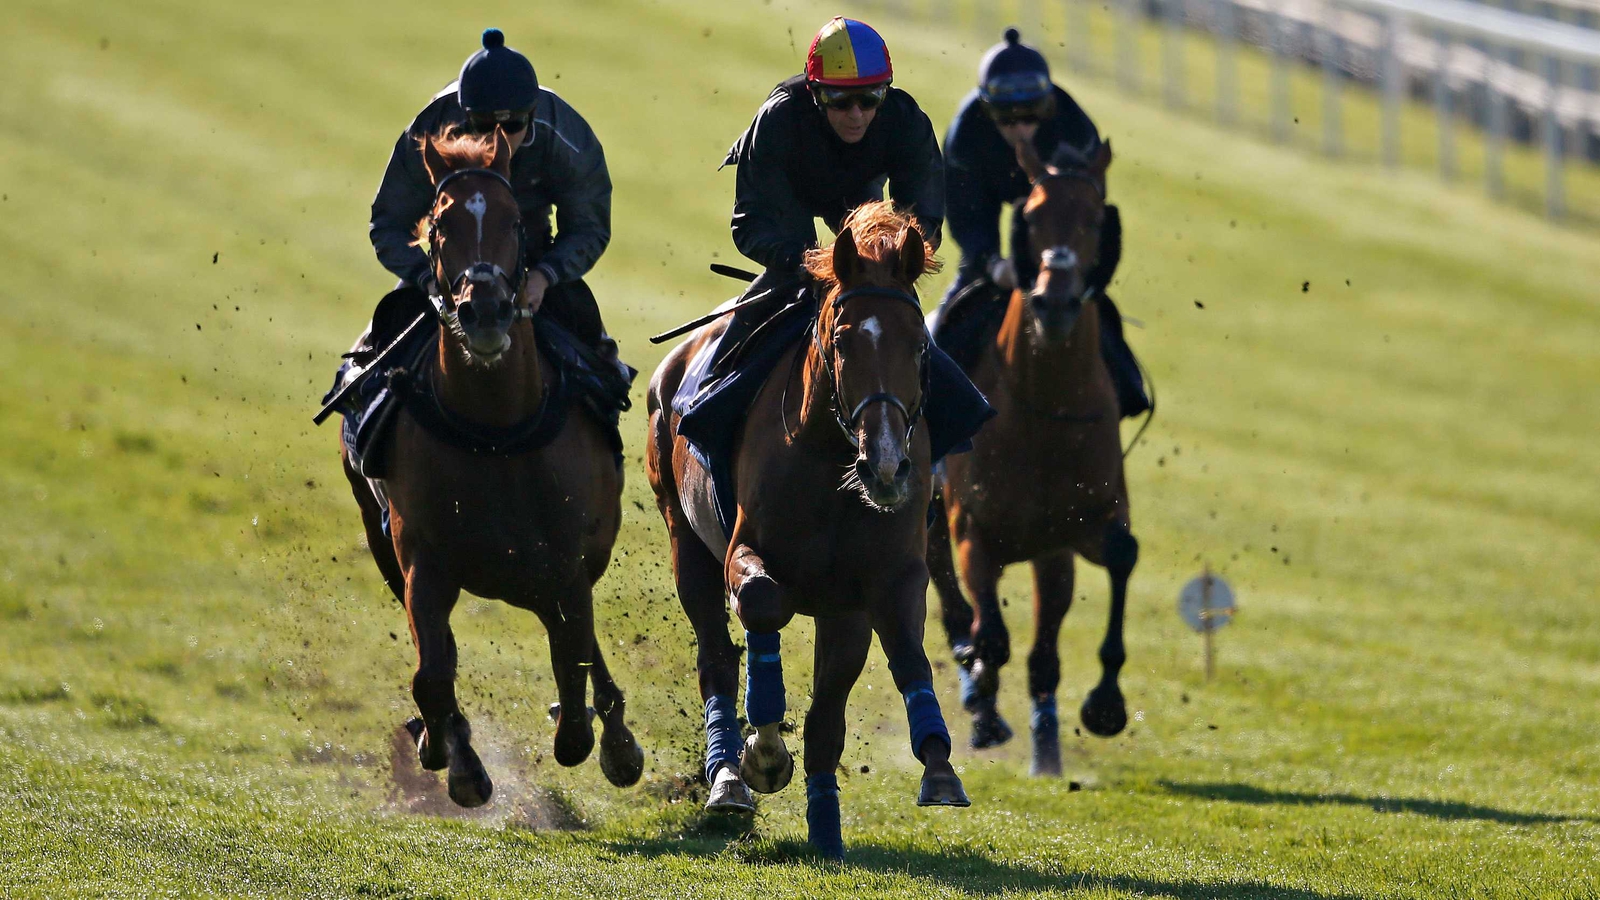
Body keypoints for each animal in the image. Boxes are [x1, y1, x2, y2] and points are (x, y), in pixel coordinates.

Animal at [342, 126, 643, 807]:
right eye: (440, 224)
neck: (496, 429)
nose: (484, 312)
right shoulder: (421, 558)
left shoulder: (564, 563)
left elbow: (573, 665)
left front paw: (594, 735)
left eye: (514, 221)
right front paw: (452, 754)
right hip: (387, 542)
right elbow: (432, 673)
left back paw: (613, 736)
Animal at [646, 201, 966, 851]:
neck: (830, 461)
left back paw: (823, 827)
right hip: (684, 539)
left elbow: (897, 653)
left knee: (824, 712)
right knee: (716, 654)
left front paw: (937, 760)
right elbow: (762, 603)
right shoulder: (744, 550)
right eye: (842, 341)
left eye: (919, 345)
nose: (887, 463)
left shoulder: (876, 584)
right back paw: (727, 775)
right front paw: (763, 752)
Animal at [928, 138, 1139, 771]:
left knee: (1043, 649)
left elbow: (1123, 555)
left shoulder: (1082, 525)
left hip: (1050, 556)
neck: (1046, 406)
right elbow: (987, 634)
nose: (1054, 301)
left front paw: (1105, 705)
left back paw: (1045, 746)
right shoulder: (972, 531)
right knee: (956, 609)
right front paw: (981, 702)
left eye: (1094, 218)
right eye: (1033, 216)